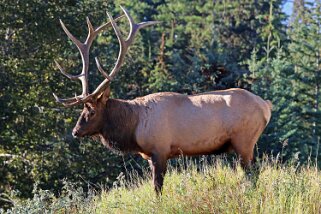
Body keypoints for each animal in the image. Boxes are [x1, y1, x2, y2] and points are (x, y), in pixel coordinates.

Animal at [52, 6, 270, 195]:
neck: (134, 126)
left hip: (244, 140)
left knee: (253, 174)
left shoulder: (160, 150)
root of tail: (266, 106)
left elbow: (157, 188)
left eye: (92, 110)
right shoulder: (150, 156)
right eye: (82, 109)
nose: (75, 131)